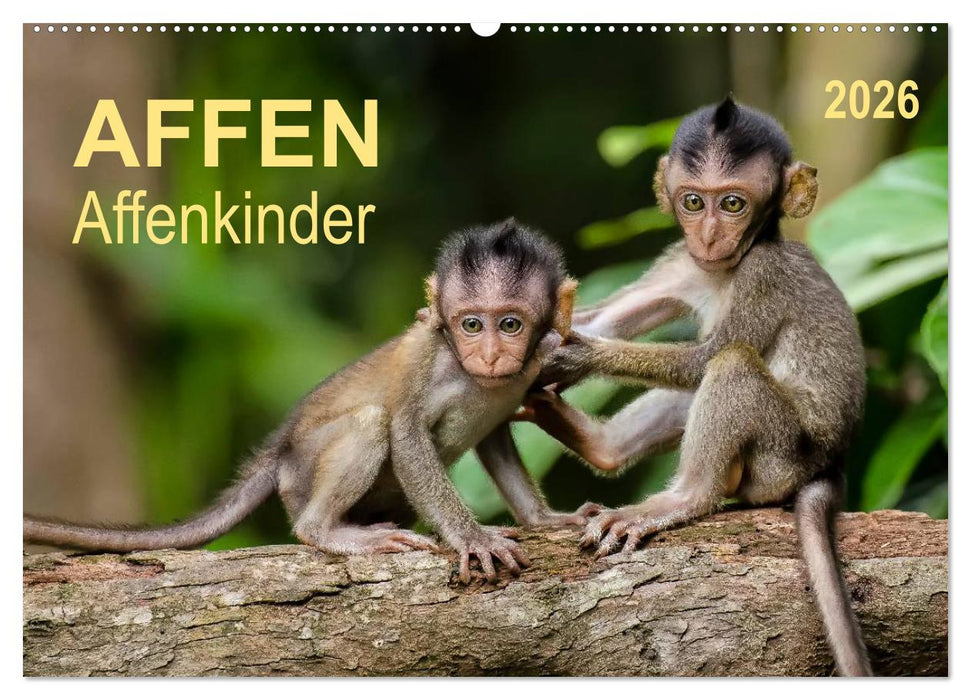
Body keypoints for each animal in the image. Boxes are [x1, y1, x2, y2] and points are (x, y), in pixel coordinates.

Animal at [24, 219, 587, 585]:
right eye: (471, 324)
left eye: (509, 324)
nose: (489, 354)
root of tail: (281, 451)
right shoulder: (429, 355)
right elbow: (406, 433)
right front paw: (471, 537)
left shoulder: (537, 360)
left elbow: (495, 437)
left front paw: (543, 520)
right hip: (301, 475)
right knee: (368, 423)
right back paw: (329, 531)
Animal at [519, 97, 872, 675]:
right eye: (692, 201)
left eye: (732, 203)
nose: (708, 235)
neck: (726, 268)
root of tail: (830, 463)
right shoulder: (681, 262)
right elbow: (605, 319)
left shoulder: (763, 274)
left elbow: (704, 358)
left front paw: (578, 355)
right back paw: (601, 445)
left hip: (780, 458)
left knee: (730, 365)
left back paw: (682, 498)